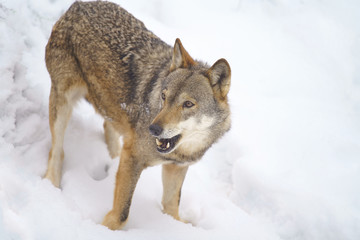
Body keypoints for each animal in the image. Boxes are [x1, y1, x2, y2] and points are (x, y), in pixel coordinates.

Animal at [44, 0, 231, 231]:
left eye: (188, 104)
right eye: (163, 97)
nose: (153, 129)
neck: (183, 150)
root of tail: (78, 5)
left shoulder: (176, 168)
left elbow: (171, 206)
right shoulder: (134, 158)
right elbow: (122, 213)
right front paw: (105, 229)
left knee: (108, 129)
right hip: (63, 102)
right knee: (57, 151)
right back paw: (50, 185)